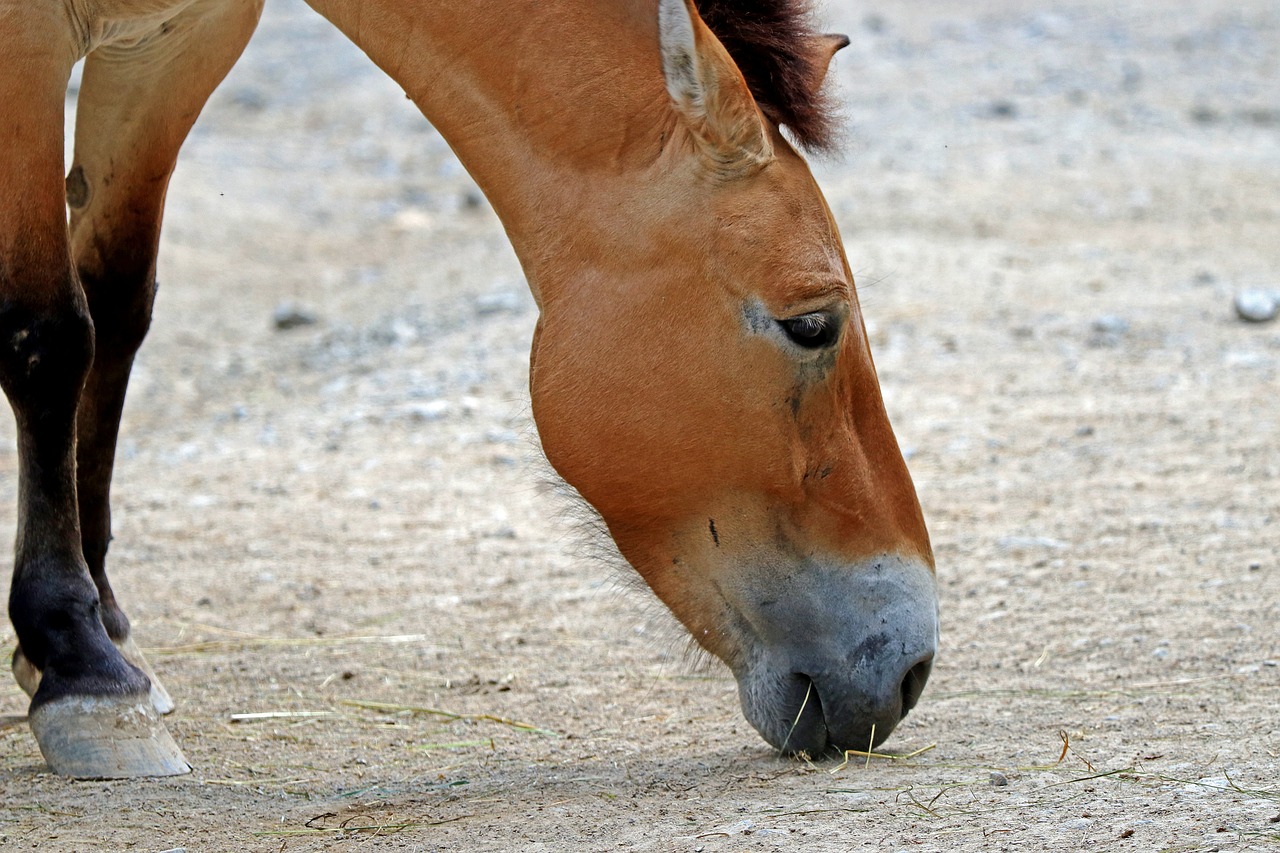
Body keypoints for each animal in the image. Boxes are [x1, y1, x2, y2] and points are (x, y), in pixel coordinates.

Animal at [0, 0, 942, 773]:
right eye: (813, 324)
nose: (911, 668)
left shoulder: (176, 44)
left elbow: (114, 307)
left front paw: (103, 631)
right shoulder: (26, 49)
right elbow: (48, 334)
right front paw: (82, 668)